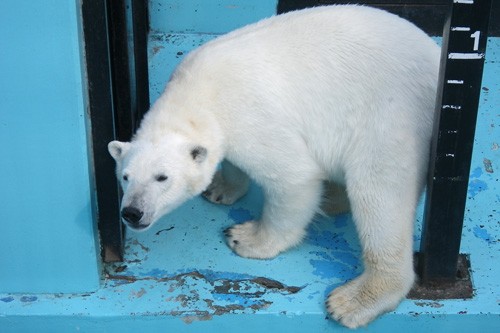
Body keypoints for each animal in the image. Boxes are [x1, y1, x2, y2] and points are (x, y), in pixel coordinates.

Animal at [107, 4, 440, 326]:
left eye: (162, 178)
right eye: (125, 177)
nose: (132, 213)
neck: (198, 93)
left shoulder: (253, 114)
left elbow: (294, 177)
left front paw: (246, 238)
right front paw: (220, 188)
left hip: (393, 117)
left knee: (380, 195)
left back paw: (354, 299)